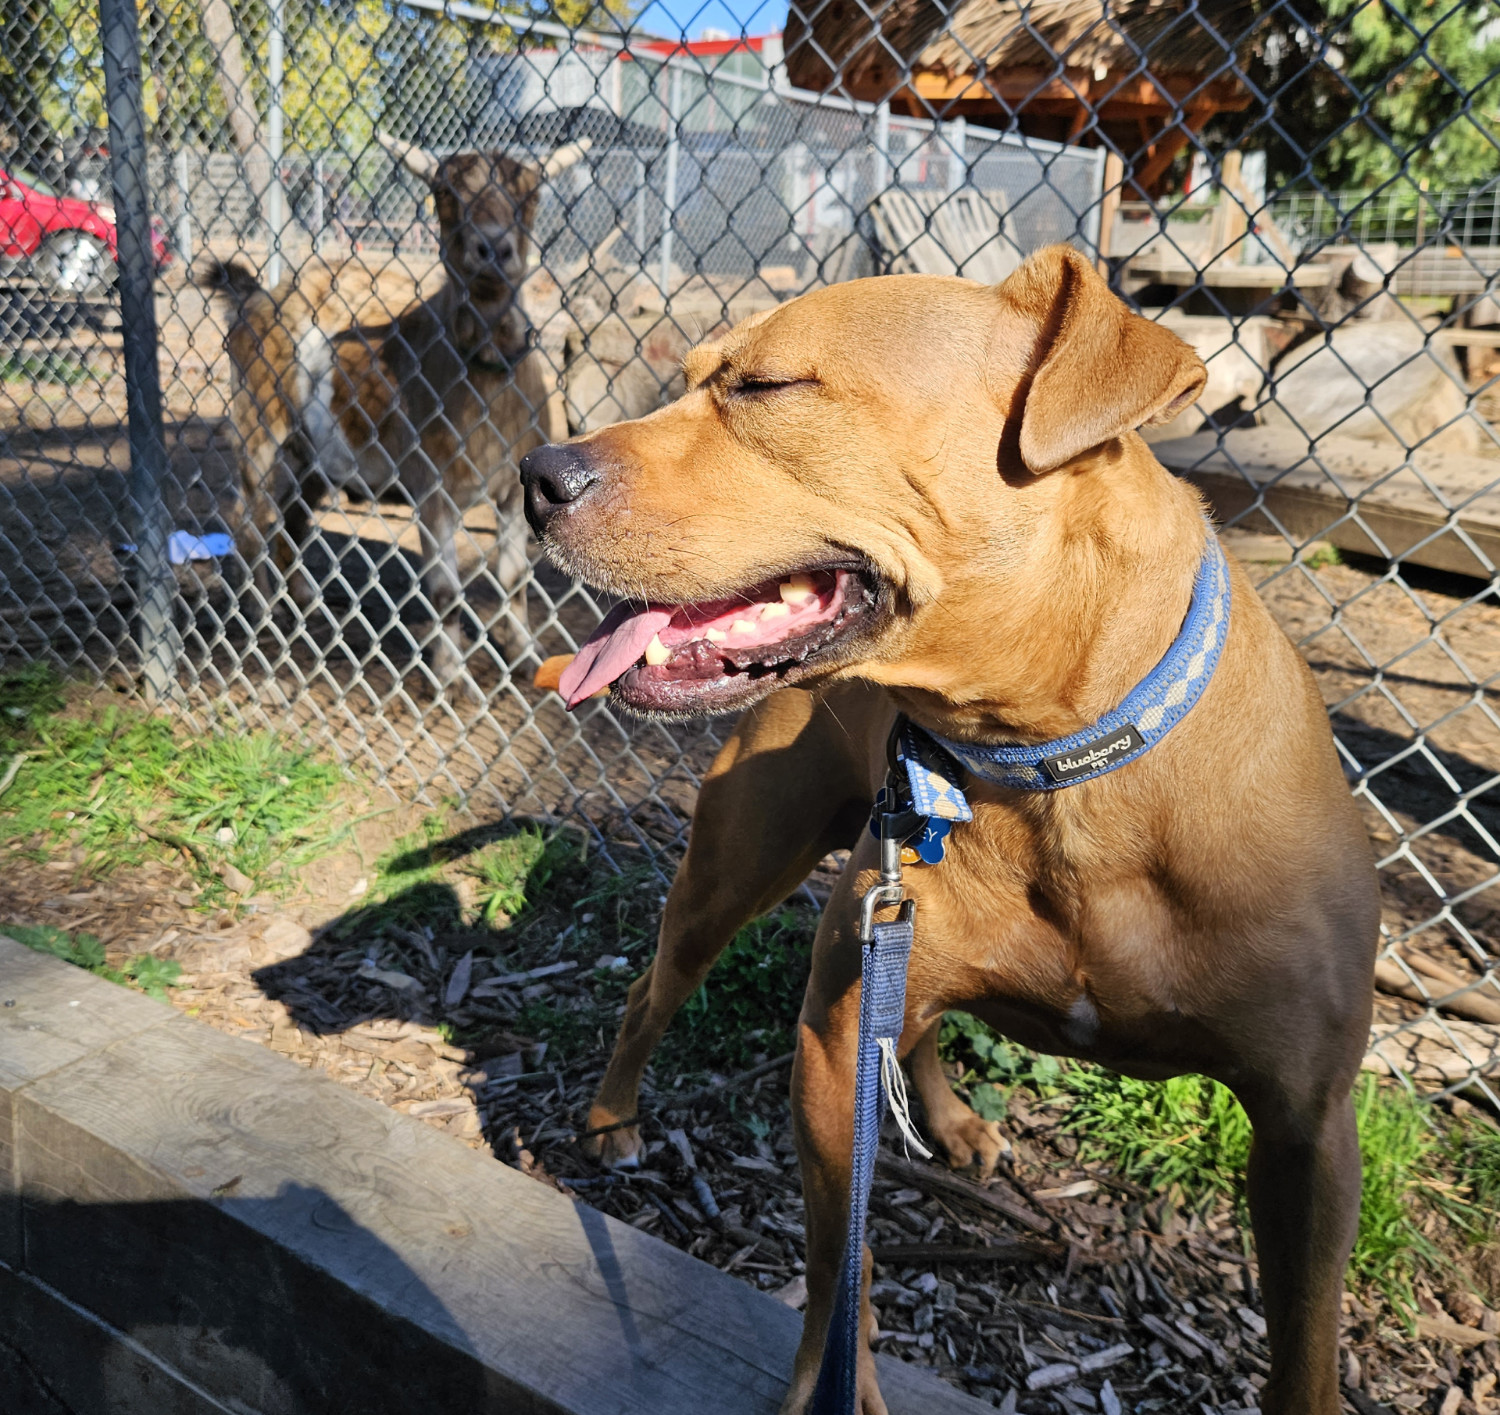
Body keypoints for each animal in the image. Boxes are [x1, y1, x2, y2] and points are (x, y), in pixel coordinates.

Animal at [202, 132, 588, 690]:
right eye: (444, 193)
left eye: (532, 194)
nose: (493, 249)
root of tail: (257, 296)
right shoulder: (433, 489)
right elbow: (444, 587)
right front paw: (448, 671)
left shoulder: (514, 488)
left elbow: (513, 578)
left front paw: (524, 655)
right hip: (259, 427)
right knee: (251, 522)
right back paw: (257, 615)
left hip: (310, 453)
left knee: (293, 519)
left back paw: (304, 606)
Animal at [522, 249, 1374, 1410]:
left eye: (768, 386)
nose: (536, 471)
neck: (1058, 765)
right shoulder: (831, 1041)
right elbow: (839, 1257)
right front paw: (832, 1378)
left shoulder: (1307, 1129)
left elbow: (1306, 1348)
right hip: (731, 879)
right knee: (655, 989)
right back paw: (612, 1117)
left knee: (914, 1022)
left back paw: (954, 1120)